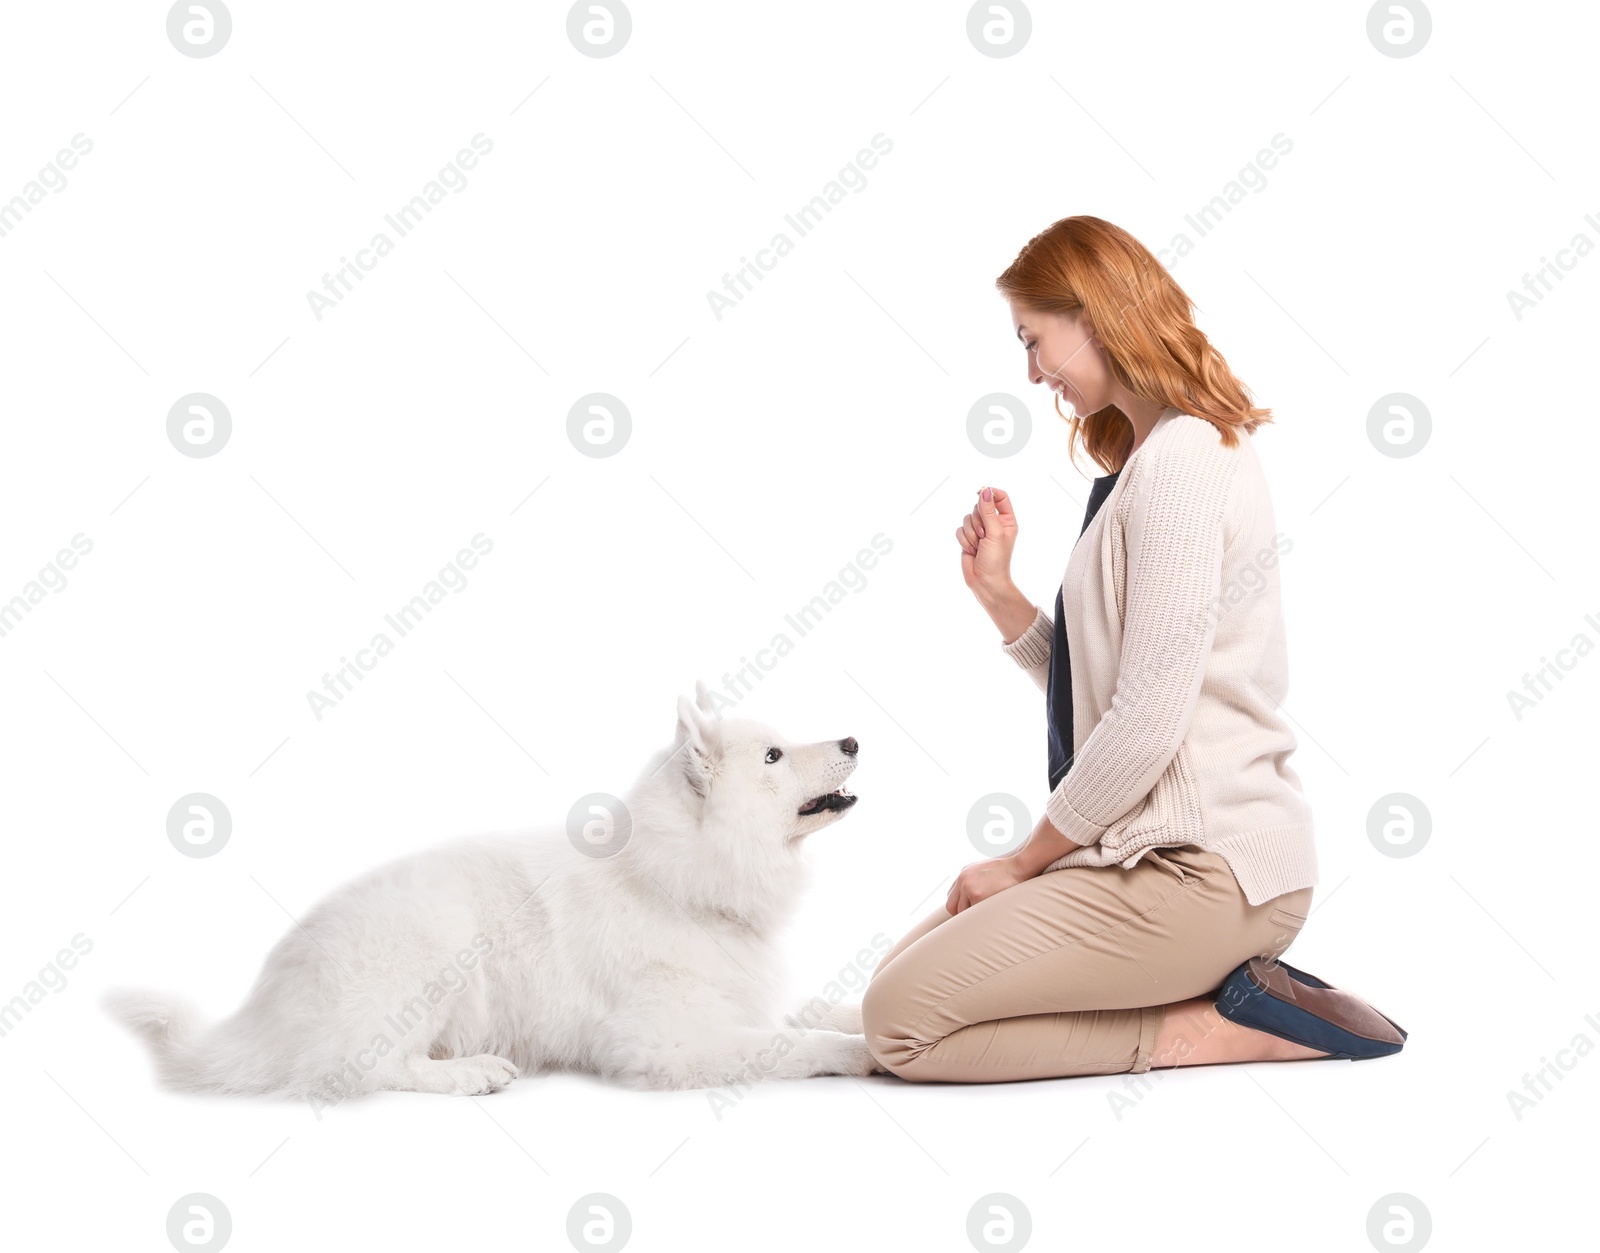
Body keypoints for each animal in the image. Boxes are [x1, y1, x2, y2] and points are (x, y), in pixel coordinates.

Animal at [106, 681, 883, 1113]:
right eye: (773, 757)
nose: (853, 738)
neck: (676, 879)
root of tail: (266, 1011)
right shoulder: (671, 1045)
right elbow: (792, 1043)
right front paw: (857, 1052)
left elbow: (814, 1009)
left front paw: (858, 1018)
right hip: (438, 953)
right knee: (361, 1067)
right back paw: (470, 1073)